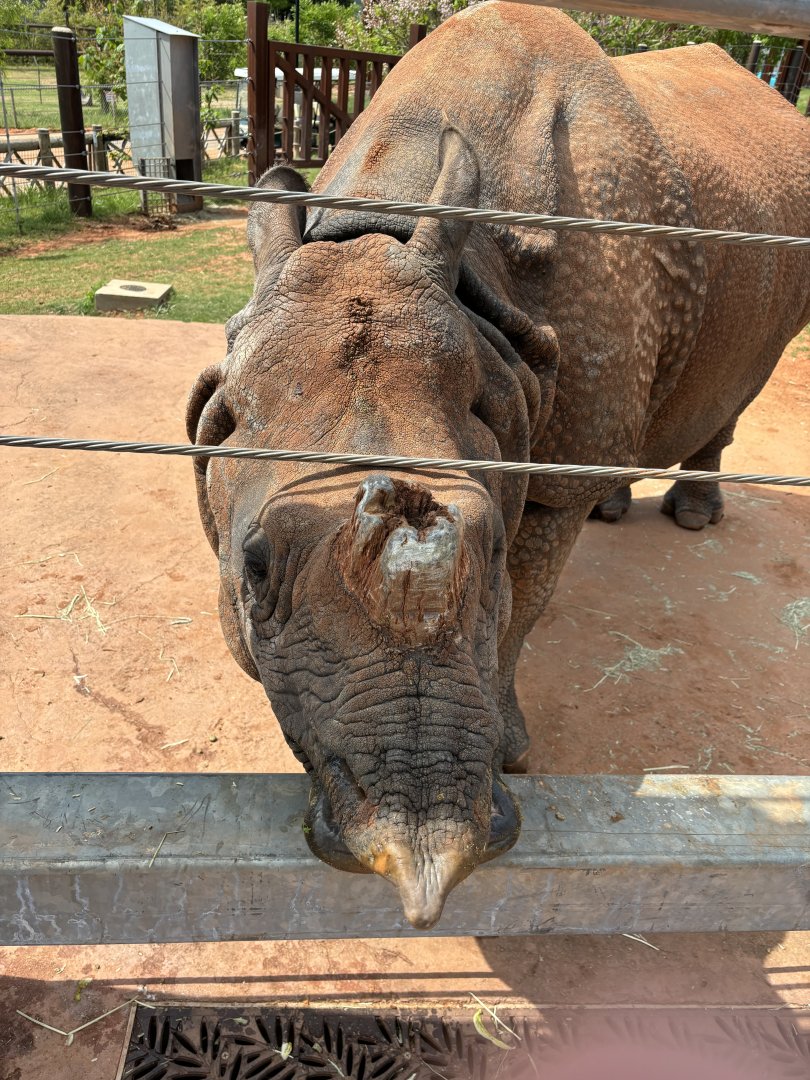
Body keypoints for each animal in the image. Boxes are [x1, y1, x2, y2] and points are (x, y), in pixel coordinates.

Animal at [188, 2, 810, 928]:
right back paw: (618, 506)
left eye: (489, 555)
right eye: (252, 571)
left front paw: (513, 755)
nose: (416, 861)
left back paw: (691, 518)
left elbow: (525, 603)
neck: (379, 229)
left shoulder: (542, 488)